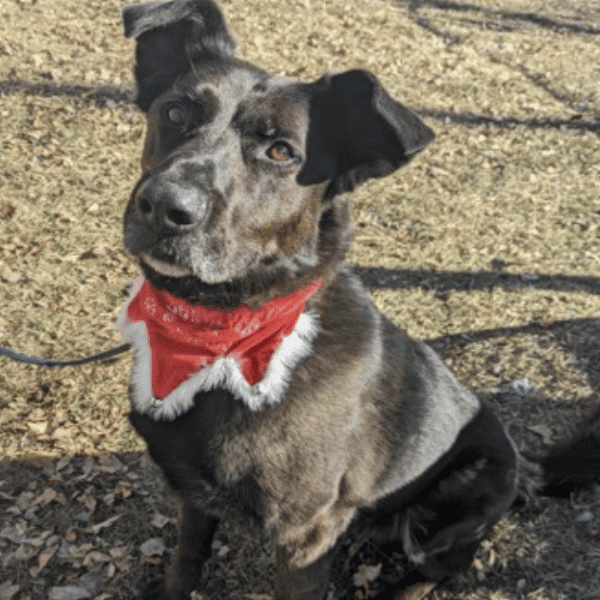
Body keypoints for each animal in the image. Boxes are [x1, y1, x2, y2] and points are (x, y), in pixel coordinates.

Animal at [117, 2, 600, 596]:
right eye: (176, 112)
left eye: (281, 152)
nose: (165, 206)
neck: (221, 332)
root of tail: (523, 465)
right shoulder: (193, 494)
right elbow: (186, 558)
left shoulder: (306, 534)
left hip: (460, 496)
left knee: (443, 566)